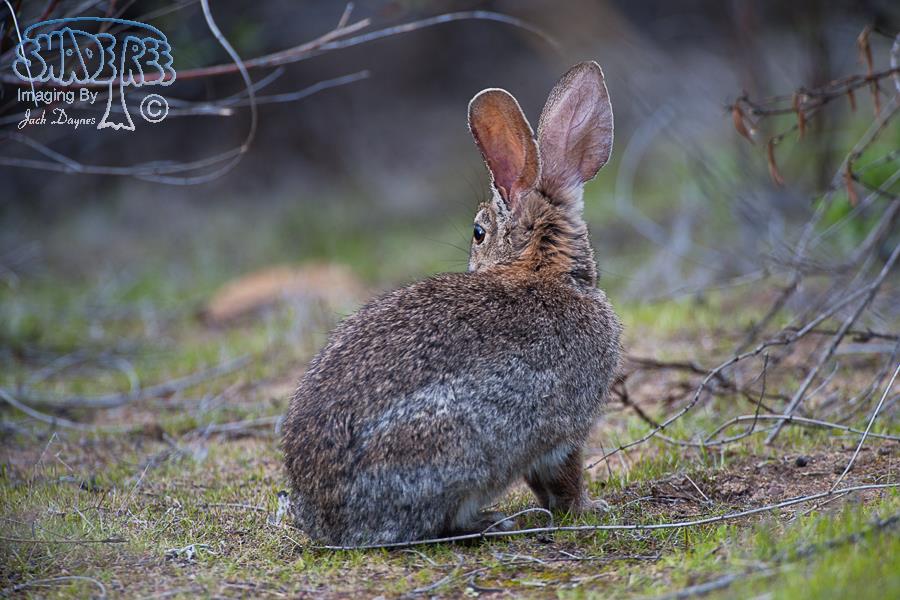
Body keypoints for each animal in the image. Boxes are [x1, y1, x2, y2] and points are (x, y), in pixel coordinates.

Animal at [282, 61, 621, 546]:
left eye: (478, 233)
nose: (473, 259)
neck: (540, 267)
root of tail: (327, 522)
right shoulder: (564, 432)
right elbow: (564, 477)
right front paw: (588, 508)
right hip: (459, 450)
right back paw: (493, 522)